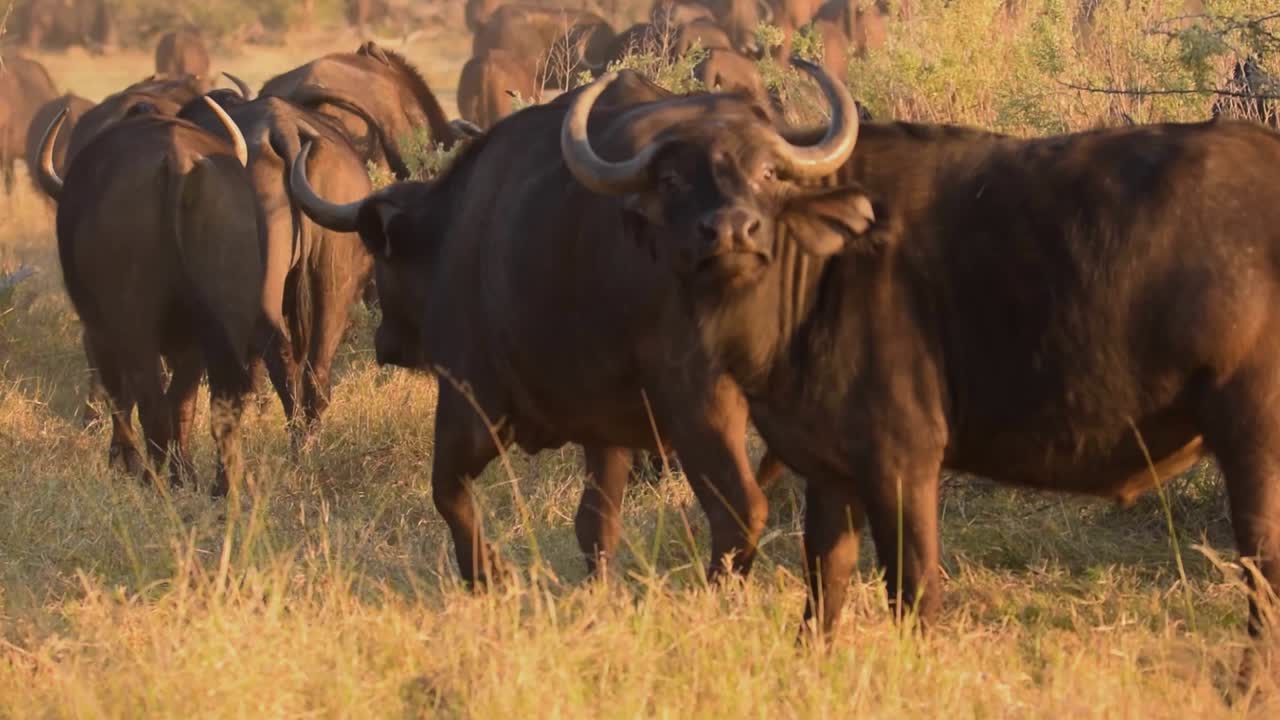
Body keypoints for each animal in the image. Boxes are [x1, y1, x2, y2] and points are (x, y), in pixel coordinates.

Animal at [35, 98, 266, 496]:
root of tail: (176, 160)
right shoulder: (189, 344)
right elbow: (183, 403)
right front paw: (182, 471)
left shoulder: (99, 332)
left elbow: (119, 394)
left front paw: (122, 462)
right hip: (225, 320)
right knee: (218, 403)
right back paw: (219, 484)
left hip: (133, 323)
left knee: (149, 400)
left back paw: (152, 478)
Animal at [286, 70, 815, 585]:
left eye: (380, 260)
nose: (386, 343)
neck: (457, 225)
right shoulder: (605, 426)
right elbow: (595, 520)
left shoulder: (471, 404)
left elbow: (447, 492)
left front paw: (487, 573)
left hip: (699, 398)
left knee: (740, 508)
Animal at [564, 59, 1280, 670]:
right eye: (671, 181)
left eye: (767, 174)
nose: (732, 232)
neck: (820, 273)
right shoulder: (829, 472)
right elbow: (824, 585)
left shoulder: (902, 463)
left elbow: (912, 592)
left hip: (1254, 439)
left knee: (1263, 568)